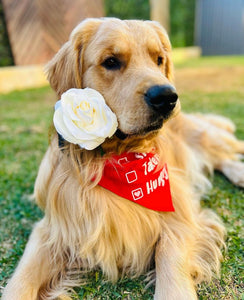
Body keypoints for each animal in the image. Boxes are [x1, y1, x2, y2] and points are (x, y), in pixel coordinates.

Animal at [2, 18, 244, 300]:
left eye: (159, 59)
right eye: (111, 61)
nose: (167, 97)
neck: (116, 160)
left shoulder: (179, 209)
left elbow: (170, 260)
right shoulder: (52, 229)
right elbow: (19, 282)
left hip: (205, 136)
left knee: (228, 152)